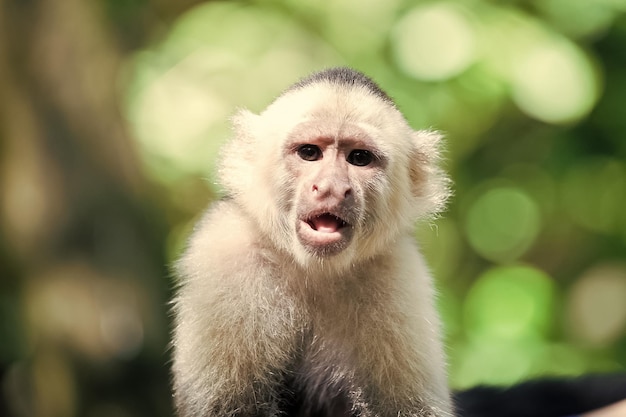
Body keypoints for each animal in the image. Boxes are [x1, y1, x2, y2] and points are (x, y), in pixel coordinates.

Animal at [171, 66, 624, 414]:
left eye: (359, 158)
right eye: (309, 153)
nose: (332, 187)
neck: (315, 269)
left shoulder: (399, 274)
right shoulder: (224, 254)